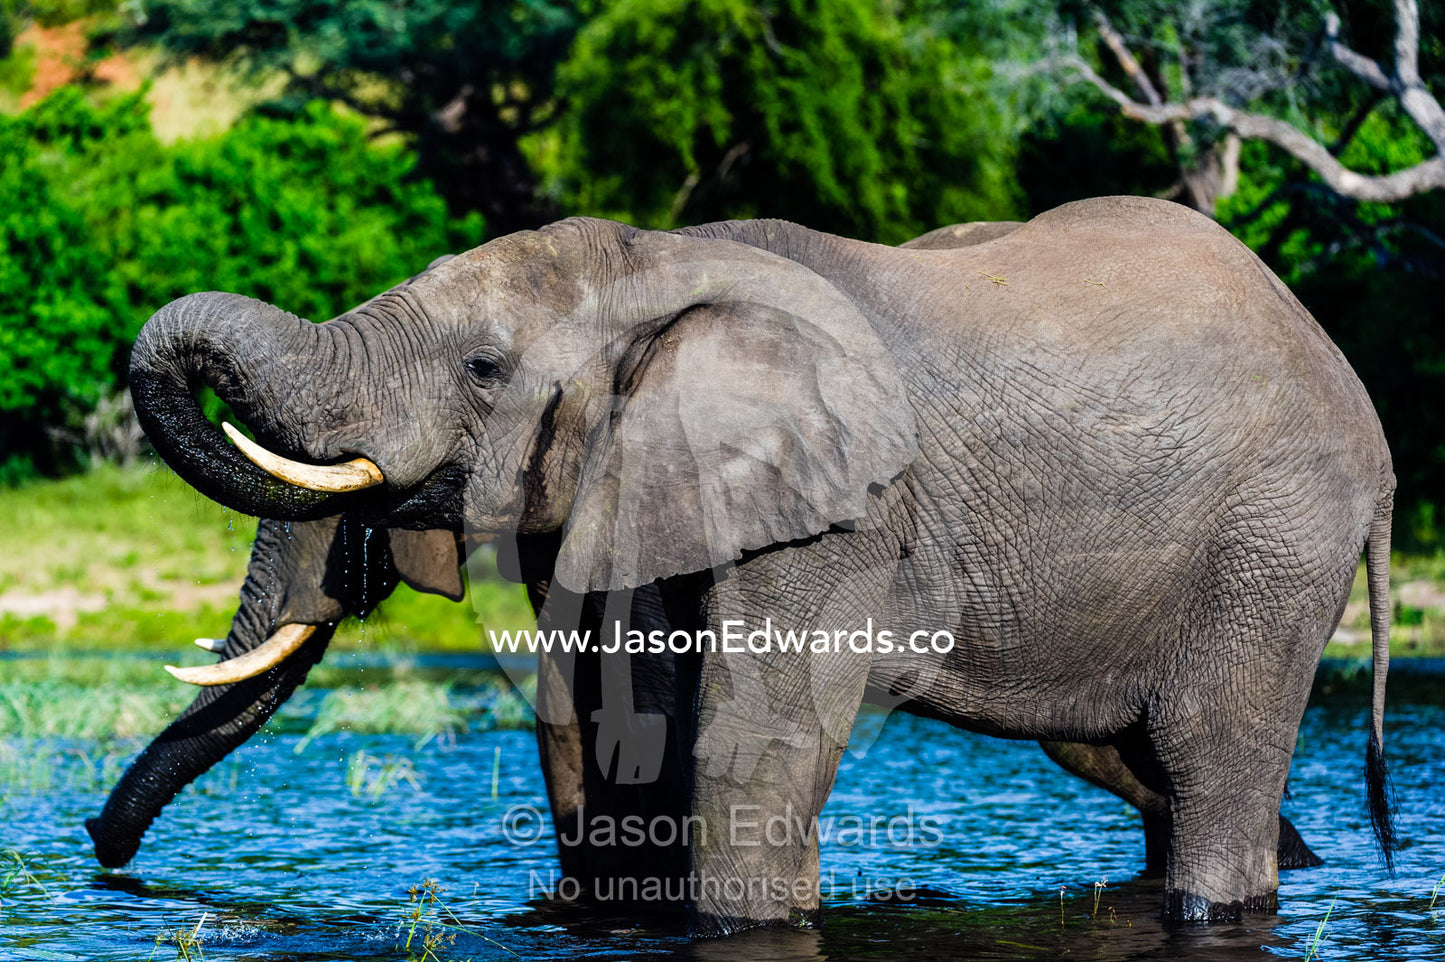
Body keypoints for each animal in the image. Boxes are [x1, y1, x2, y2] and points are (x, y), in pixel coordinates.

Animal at [101, 196, 1394, 935]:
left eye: (481, 367)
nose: (102, 854)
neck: (653, 261)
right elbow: (603, 725)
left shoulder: (840, 508)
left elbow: (746, 737)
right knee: (1129, 755)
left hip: (1276, 533)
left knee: (1207, 745)